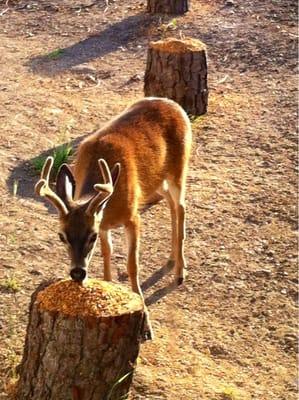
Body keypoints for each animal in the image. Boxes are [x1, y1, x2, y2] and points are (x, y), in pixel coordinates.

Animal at [35, 97, 193, 340]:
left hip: (179, 168)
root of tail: (172, 103)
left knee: (181, 206)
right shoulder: (104, 224)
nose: (77, 273)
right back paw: (171, 259)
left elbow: (132, 264)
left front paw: (146, 324)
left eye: (90, 236)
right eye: (61, 236)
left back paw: (179, 271)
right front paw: (107, 288)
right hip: (157, 180)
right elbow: (107, 255)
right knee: (170, 203)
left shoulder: (132, 218)